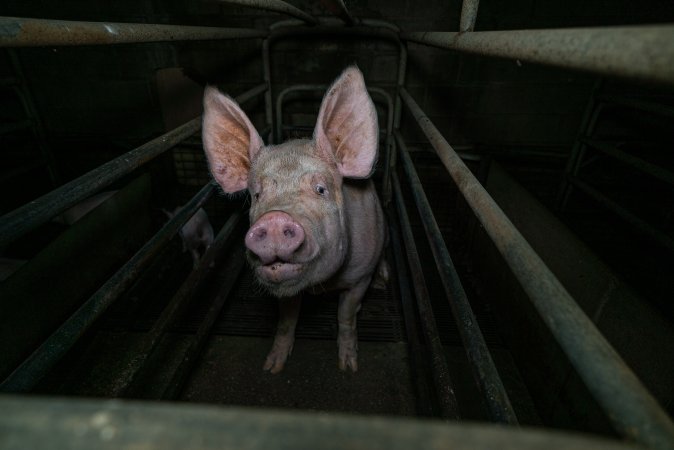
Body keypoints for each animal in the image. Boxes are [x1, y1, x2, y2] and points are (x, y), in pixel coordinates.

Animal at [201, 66, 384, 372]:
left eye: (320, 189)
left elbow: (346, 315)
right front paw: (272, 367)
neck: (322, 286)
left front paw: (348, 367)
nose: (274, 219)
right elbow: (287, 320)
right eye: (257, 195)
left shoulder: (361, 277)